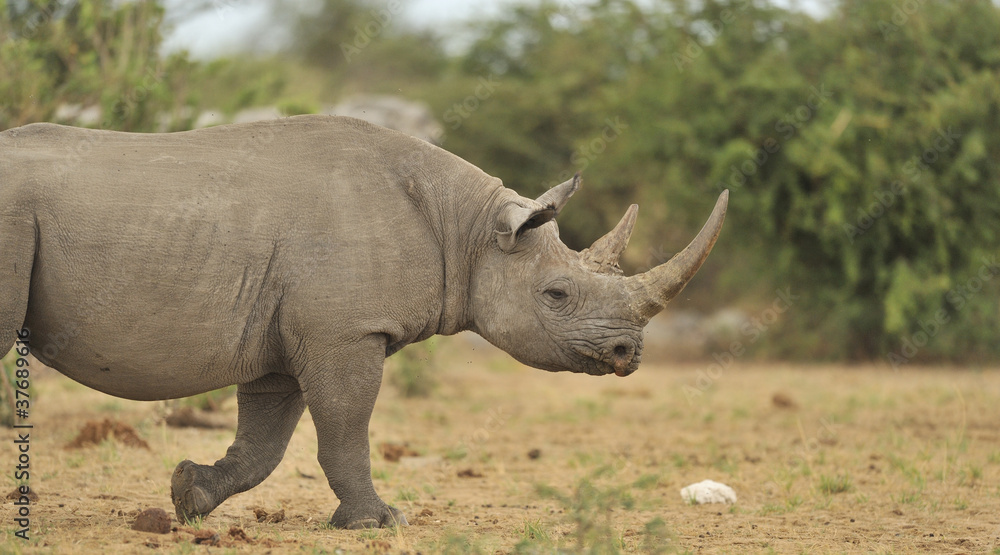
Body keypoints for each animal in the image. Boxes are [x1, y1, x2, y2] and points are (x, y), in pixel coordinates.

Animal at [0, 115, 727, 528]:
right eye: (556, 294)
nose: (628, 353)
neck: (468, 228)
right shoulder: (345, 331)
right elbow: (346, 427)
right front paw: (379, 523)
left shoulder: (286, 336)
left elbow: (264, 442)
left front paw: (189, 496)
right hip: (13, 214)